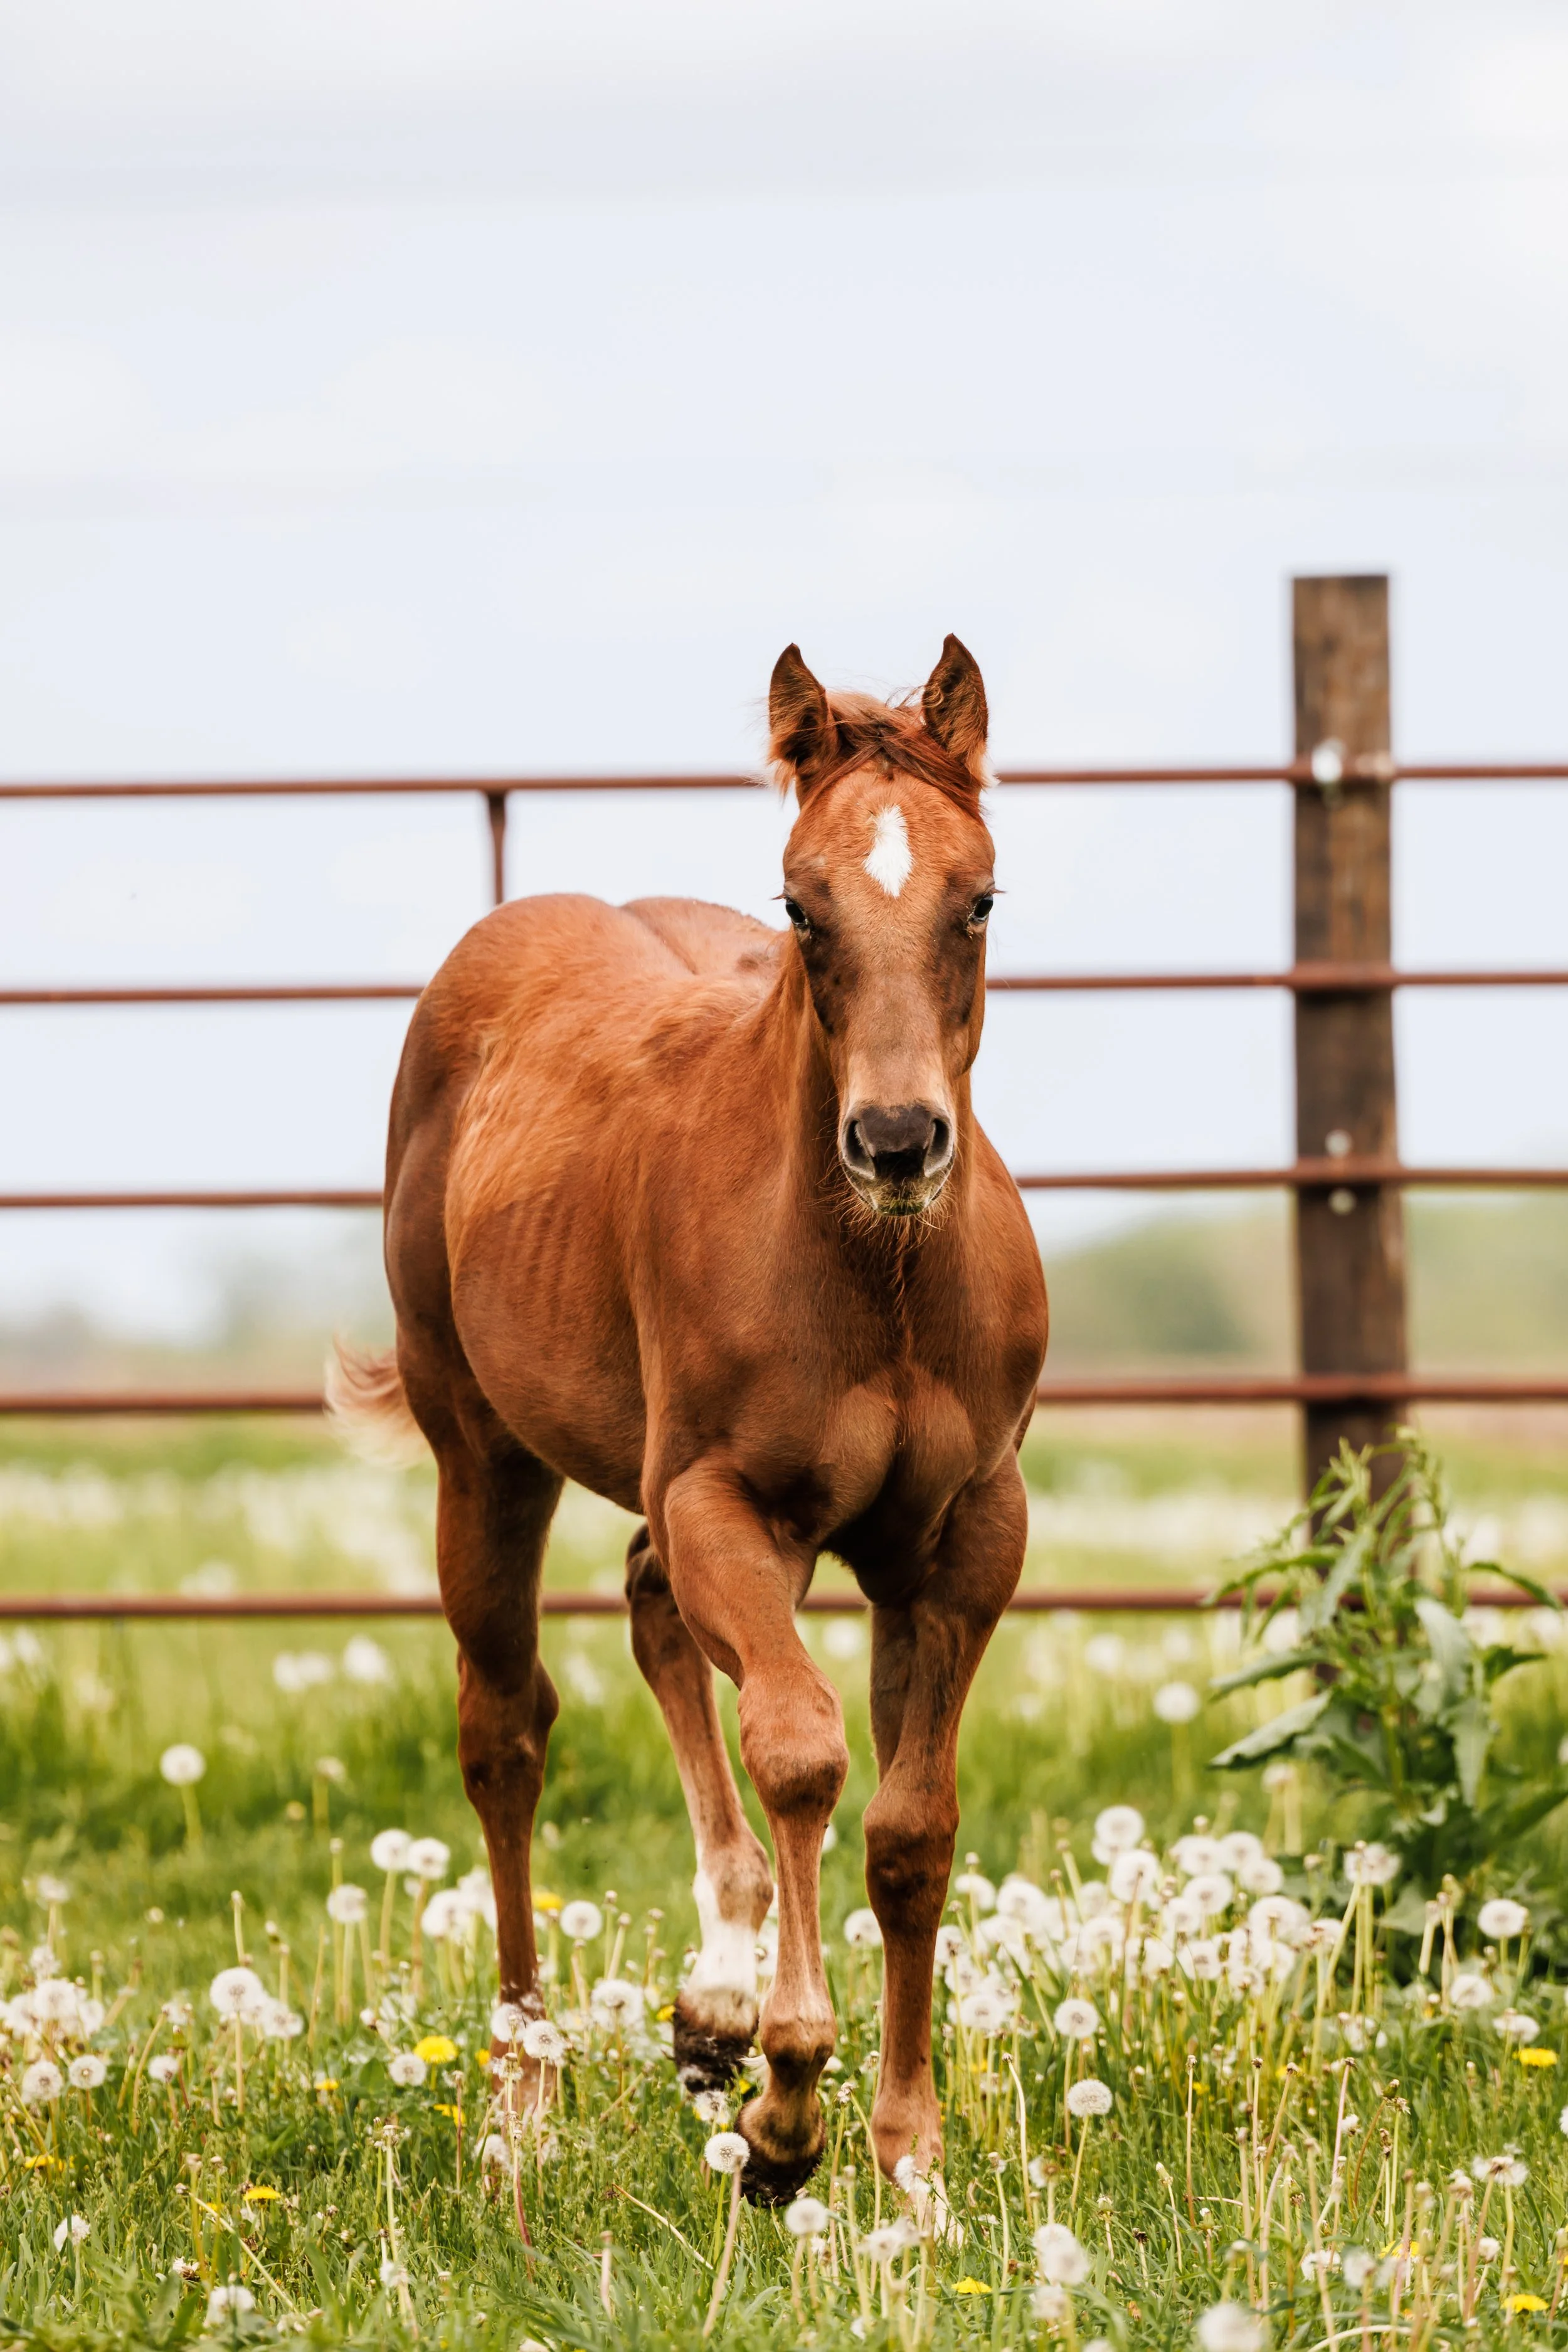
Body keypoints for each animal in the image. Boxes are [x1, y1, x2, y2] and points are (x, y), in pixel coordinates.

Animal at [330, 635, 1048, 2203]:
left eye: (976, 898)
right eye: (800, 904)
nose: (895, 1141)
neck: (878, 1277)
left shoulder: (961, 1537)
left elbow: (910, 1826)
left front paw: (908, 2155)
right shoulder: (726, 1496)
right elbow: (798, 1746)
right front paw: (786, 2110)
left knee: (653, 1603)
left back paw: (709, 1998)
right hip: (483, 1454)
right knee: (507, 1729)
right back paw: (524, 2100)